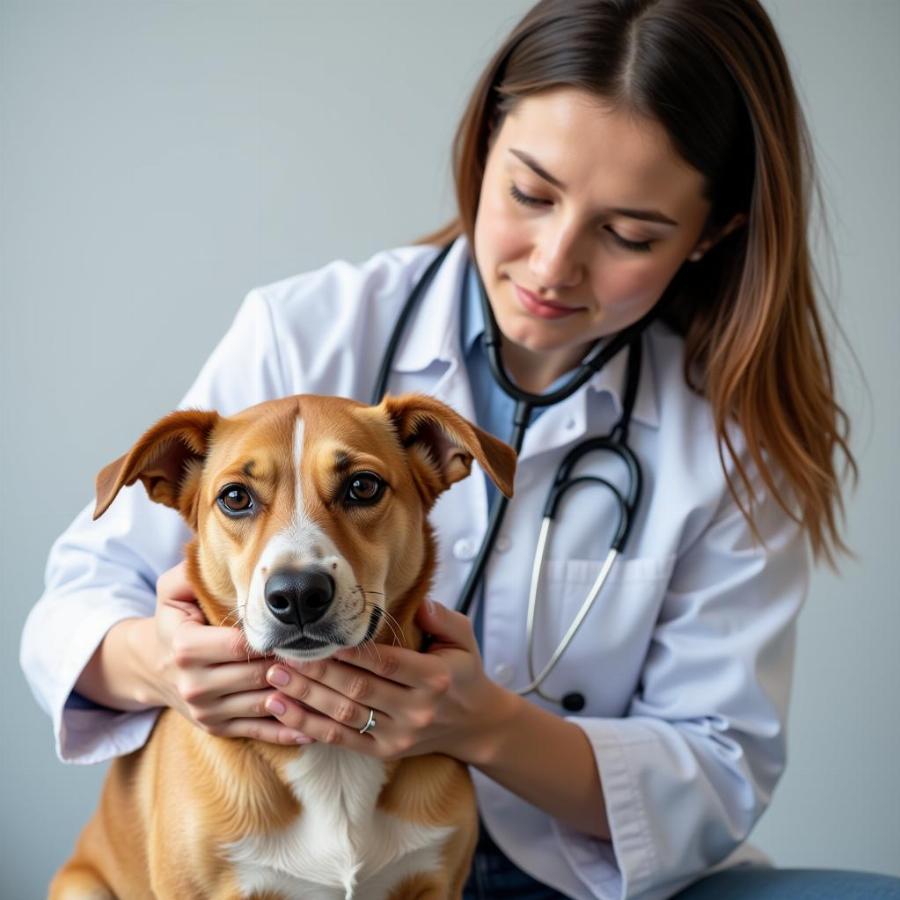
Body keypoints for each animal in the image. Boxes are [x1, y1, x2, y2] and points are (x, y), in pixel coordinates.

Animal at [51, 394, 512, 900]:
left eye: (363, 486)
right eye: (235, 497)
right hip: (81, 886)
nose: (297, 594)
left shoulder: (438, 882)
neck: (332, 757)